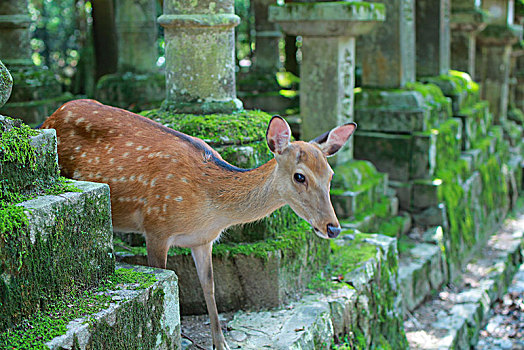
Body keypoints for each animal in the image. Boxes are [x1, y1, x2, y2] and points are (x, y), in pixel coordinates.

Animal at [42, 99, 356, 350]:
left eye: (330, 175)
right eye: (300, 176)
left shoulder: (203, 240)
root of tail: (49, 117)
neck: (209, 208)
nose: (333, 227)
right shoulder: (156, 226)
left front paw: (221, 343)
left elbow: (209, 286)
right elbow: (167, 283)